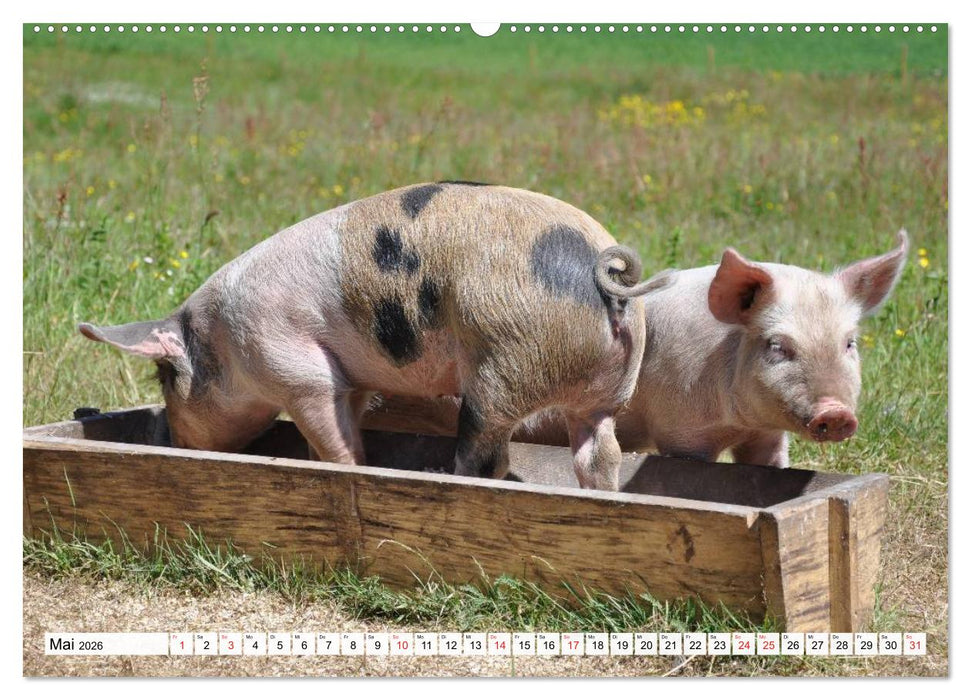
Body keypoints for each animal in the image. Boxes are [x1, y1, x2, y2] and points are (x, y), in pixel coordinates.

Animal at [78, 182, 666, 490]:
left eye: (164, 377)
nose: (177, 442)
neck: (223, 342)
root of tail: (605, 275)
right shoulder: (353, 378)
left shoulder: (296, 368)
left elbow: (334, 438)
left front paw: (348, 472)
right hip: (606, 394)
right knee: (599, 453)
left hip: (503, 365)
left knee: (485, 455)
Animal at [521, 231, 909, 468]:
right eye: (777, 346)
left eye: (849, 343)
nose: (836, 412)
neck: (736, 424)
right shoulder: (680, 431)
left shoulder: (766, 436)